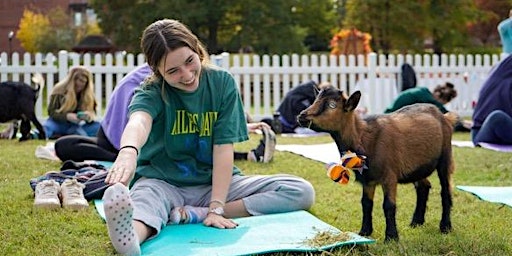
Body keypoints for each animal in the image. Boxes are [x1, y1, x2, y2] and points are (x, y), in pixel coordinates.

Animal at [298, 85, 458, 242]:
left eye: (332, 105)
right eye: (315, 100)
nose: (302, 116)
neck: (363, 138)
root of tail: (444, 116)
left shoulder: (389, 177)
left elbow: (388, 205)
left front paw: (391, 237)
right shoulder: (368, 179)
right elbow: (366, 203)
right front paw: (364, 232)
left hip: (445, 158)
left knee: (445, 191)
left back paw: (445, 227)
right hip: (418, 167)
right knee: (424, 187)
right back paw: (416, 222)